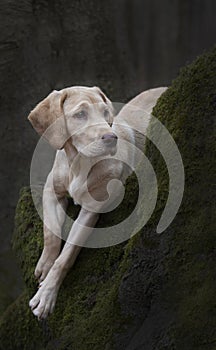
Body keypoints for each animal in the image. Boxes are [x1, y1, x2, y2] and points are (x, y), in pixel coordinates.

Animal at [26, 85, 165, 320]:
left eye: (105, 112)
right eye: (80, 114)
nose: (110, 137)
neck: (78, 162)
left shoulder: (91, 209)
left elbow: (66, 257)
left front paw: (46, 296)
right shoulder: (51, 191)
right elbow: (51, 233)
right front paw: (45, 265)